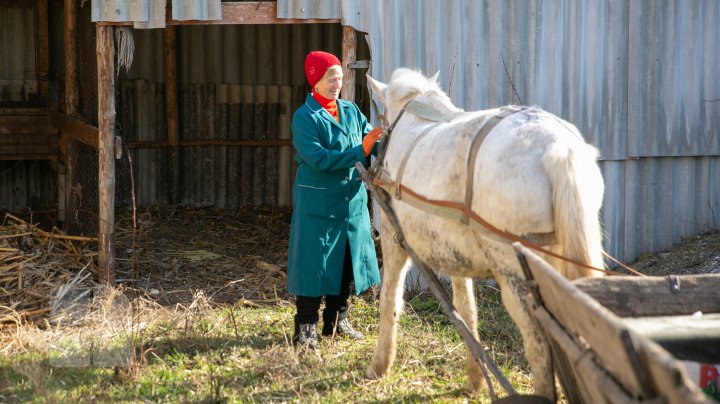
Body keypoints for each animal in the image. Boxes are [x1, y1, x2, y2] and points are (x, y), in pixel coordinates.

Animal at [366, 68, 608, 400]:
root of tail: (558, 148)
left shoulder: (394, 240)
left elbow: (389, 300)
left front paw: (380, 365)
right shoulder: (455, 254)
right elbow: (466, 312)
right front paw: (475, 380)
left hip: (515, 275)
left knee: (539, 348)